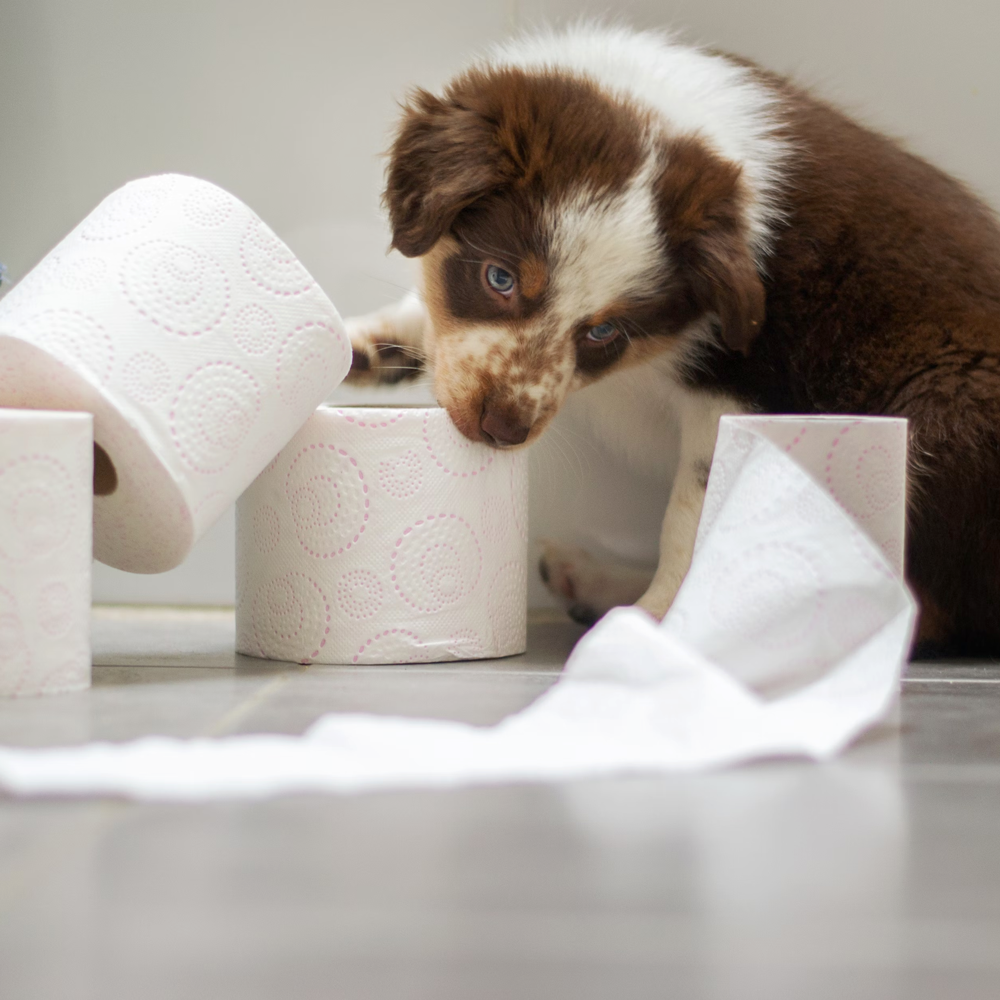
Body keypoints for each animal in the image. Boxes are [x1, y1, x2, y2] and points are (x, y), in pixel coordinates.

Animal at [346, 25, 1000, 656]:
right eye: (499, 279)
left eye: (604, 331)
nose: (501, 432)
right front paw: (362, 342)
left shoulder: (741, 390)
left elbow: (694, 513)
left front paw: (665, 621)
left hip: (946, 410)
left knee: (933, 609)